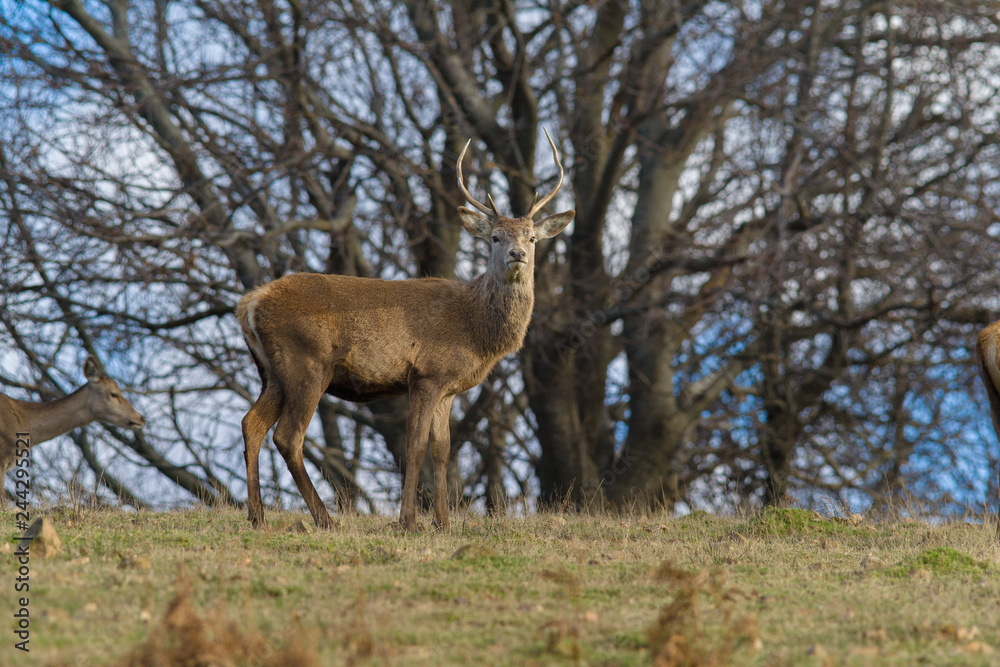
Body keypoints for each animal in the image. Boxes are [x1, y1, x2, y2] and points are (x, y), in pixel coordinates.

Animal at [237, 130, 576, 532]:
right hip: (306, 363)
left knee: (252, 423)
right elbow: (414, 446)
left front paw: (443, 523)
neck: (475, 329)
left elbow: (443, 450)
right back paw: (324, 519)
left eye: (532, 238)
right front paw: (409, 521)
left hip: (273, 372)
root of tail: (250, 303)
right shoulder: (426, 374)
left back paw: (257, 516)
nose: (517, 254)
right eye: (495, 237)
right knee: (288, 436)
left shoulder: (448, 387)